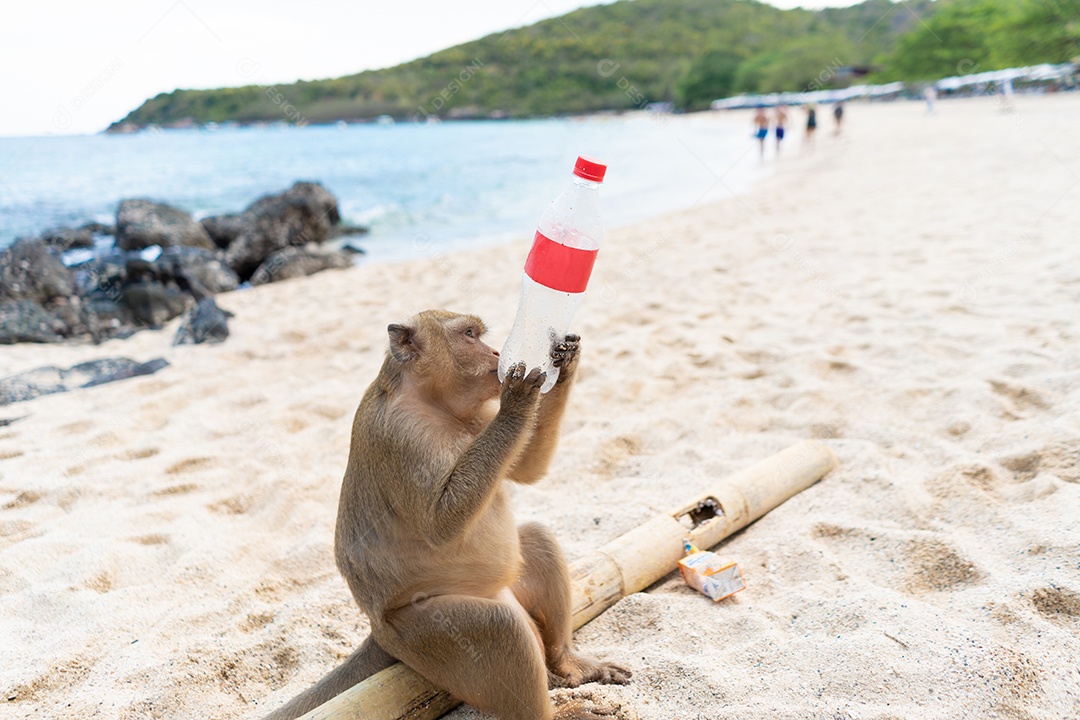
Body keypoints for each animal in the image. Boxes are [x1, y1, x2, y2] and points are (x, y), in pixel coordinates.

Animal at [263, 309, 630, 720]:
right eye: (470, 335)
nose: (496, 352)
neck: (434, 403)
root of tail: (377, 627)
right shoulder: (402, 435)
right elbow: (441, 523)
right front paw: (518, 401)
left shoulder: (479, 415)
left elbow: (527, 469)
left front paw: (564, 362)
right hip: (420, 633)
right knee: (501, 627)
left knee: (537, 539)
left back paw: (567, 662)